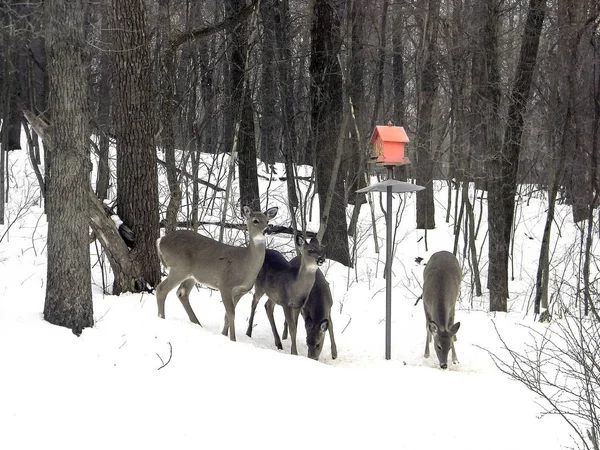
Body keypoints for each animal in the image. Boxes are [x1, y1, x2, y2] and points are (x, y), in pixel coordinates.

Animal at [155, 206, 276, 342]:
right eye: (255, 220)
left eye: (267, 221)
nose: (267, 230)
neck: (246, 263)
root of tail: (160, 240)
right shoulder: (225, 285)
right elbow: (231, 314)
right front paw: (233, 339)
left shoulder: (241, 291)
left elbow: (227, 315)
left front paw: (224, 335)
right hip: (179, 268)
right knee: (161, 289)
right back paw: (162, 318)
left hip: (191, 275)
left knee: (182, 293)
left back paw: (197, 323)